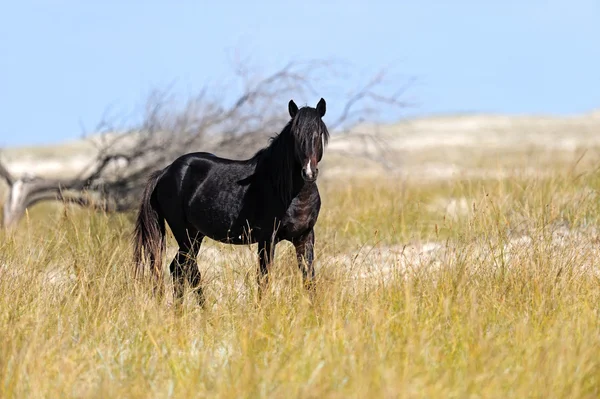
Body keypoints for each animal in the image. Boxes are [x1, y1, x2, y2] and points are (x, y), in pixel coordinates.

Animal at [133, 98, 328, 304]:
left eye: (319, 133)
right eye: (295, 135)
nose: (309, 172)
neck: (291, 194)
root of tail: (165, 171)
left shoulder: (305, 237)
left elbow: (309, 280)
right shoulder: (267, 239)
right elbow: (264, 279)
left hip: (195, 234)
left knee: (180, 269)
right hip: (185, 235)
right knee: (185, 269)